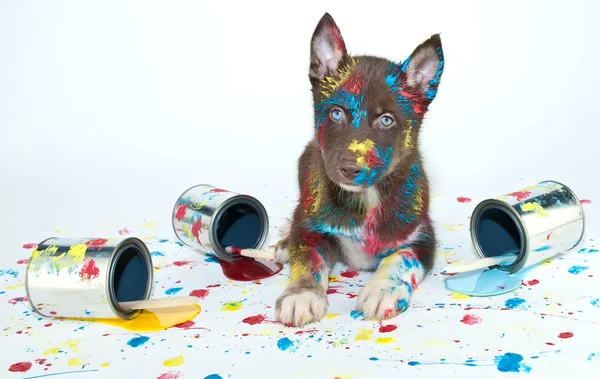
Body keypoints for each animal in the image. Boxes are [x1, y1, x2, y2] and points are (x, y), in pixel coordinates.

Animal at [274, 11, 442, 326]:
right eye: (336, 113)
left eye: (386, 120)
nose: (350, 169)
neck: (367, 197)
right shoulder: (309, 224)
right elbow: (307, 257)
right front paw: (301, 293)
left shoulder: (423, 238)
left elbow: (400, 259)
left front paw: (382, 290)